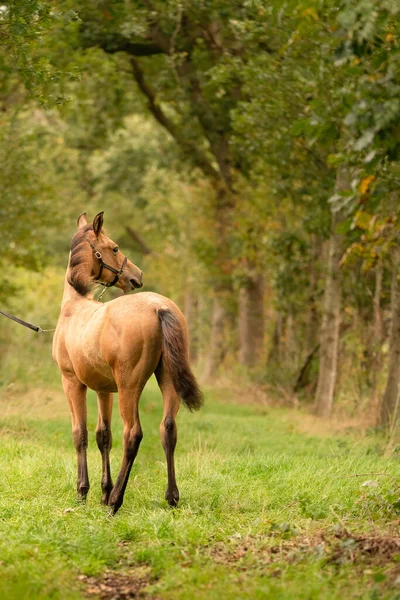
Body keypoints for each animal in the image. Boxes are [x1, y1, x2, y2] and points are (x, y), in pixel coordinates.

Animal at [52, 213, 203, 512]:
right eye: (115, 247)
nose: (137, 276)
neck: (74, 309)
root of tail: (159, 307)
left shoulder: (72, 382)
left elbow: (80, 434)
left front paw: (83, 493)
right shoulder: (103, 390)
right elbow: (103, 436)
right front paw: (102, 491)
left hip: (129, 386)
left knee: (133, 434)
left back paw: (115, 501)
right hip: (165, 378)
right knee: (168, 428)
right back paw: (171, 497)